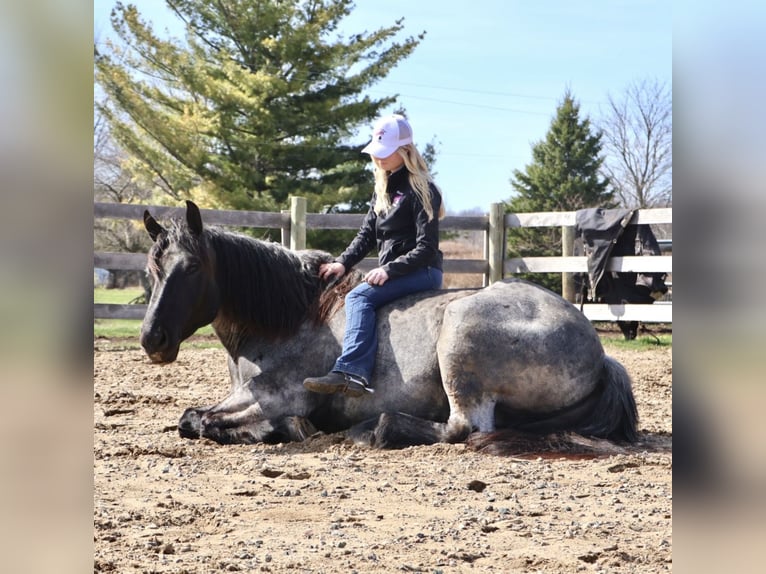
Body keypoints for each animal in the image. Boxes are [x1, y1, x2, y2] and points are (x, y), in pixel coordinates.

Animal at [139, 201, 638, 450]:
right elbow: (191, 416)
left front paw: (285, 429)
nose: (151, 339)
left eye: (191, 269)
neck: (294, 314)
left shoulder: (278, 395)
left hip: (460, 333)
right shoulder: (247, 393)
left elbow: (199, 420)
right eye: (152, 268)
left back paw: (378, 429)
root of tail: (600, 353)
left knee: (463, 429)